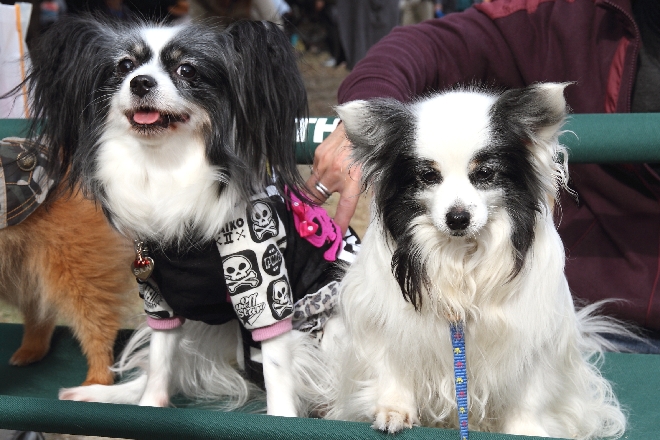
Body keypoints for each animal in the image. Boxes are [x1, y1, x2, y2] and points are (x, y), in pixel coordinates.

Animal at [19, 16, 356, 415]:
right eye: (124, 66)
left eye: (187, 70)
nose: (140, 82)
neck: (162, 166)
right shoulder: (157, 296)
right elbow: (160, 360)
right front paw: (149, 406)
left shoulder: (266, 287)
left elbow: (276, 365)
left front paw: (283, 418)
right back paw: (107, 394)